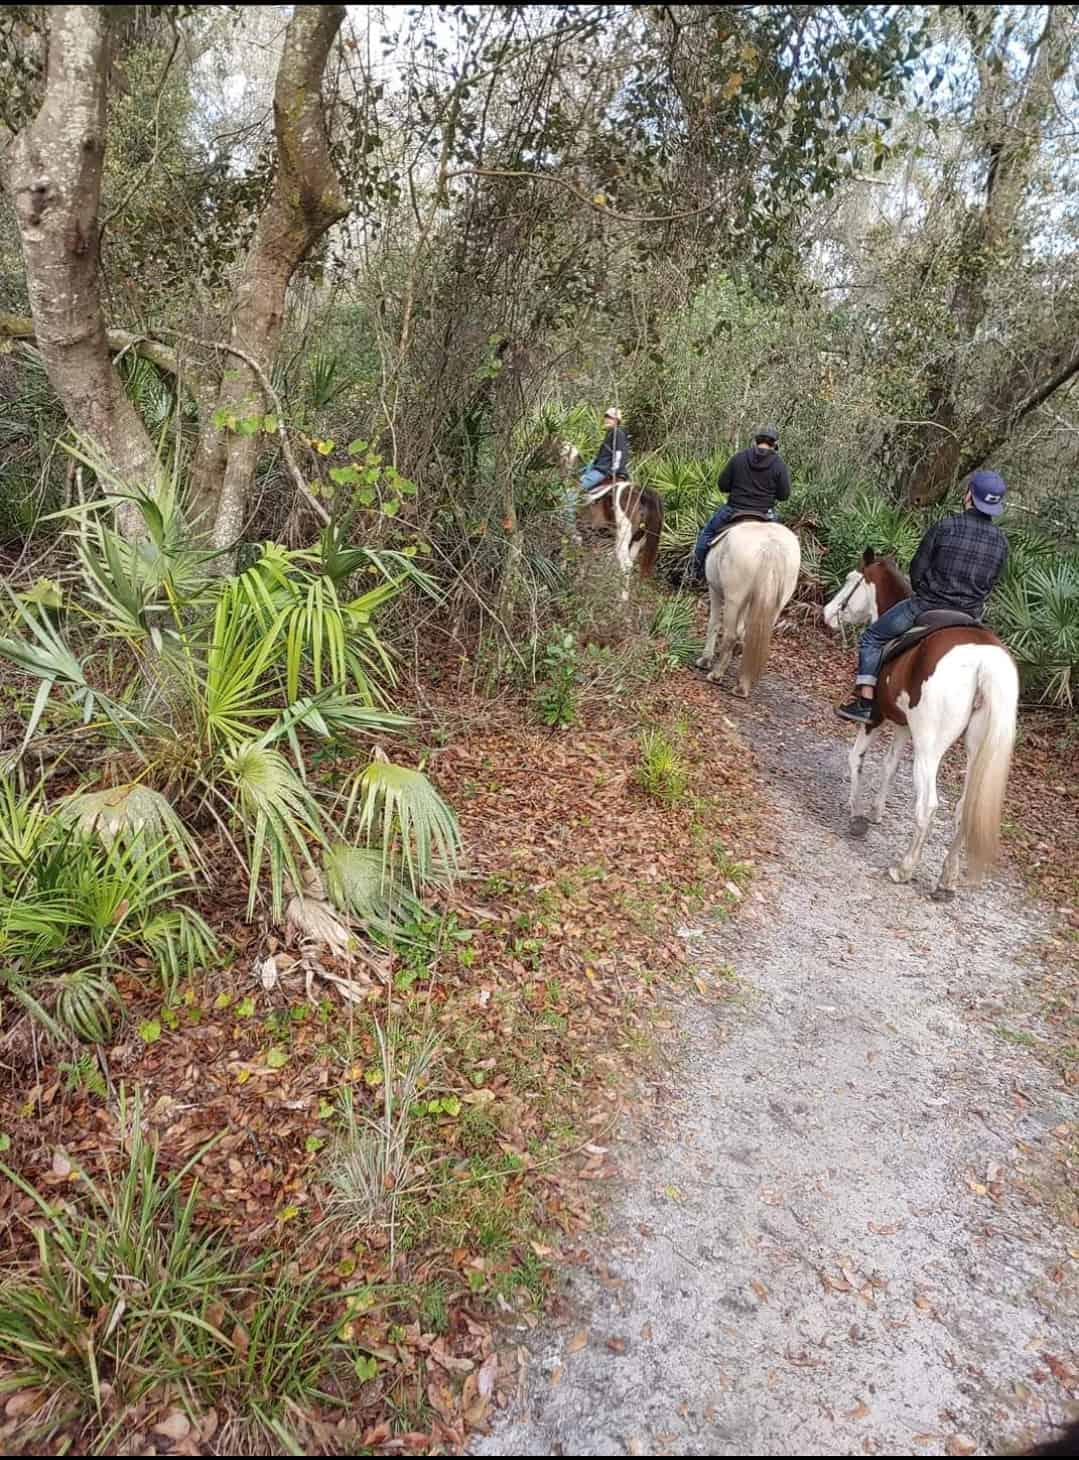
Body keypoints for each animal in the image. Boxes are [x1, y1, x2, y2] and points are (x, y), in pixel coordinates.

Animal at [829, 551, 1022, 893]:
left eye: (852, 580)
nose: (828, 613)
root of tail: (983, 661)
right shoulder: (904, 726)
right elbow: (890, 765)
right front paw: (876, 812)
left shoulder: (876, 718)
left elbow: (856, 759)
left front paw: (857, 815)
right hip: (975, 748)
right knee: (963, 809)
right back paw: (947, 879)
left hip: (930, 747)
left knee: (927, 805)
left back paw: (904, 868)